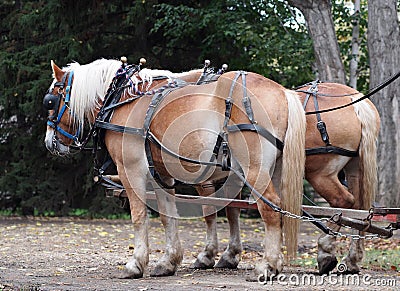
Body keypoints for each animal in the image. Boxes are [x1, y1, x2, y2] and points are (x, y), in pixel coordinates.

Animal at [43, 59, 306, 280]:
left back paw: (267, 265)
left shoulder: (131, 171)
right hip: (274, 169)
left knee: (270, 208)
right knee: (275, 209)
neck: (121, 99)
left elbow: (139, 216)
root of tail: (283, 92)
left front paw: (135, 264)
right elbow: (167, 216)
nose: (49, 142)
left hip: (254, 169)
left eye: (51, 101)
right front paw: (168, 262)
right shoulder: (161, 175)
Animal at [125, 68, 378, 276]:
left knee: (342, 203)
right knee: (361, 210)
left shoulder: (206, 178)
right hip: (353, 170)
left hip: (319, 174)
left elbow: (210, 211)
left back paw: (324, 252)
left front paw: (208, 255)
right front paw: (229, 255)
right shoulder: (233, 176)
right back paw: (351, 259)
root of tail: (357, 102)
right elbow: (231, 211)